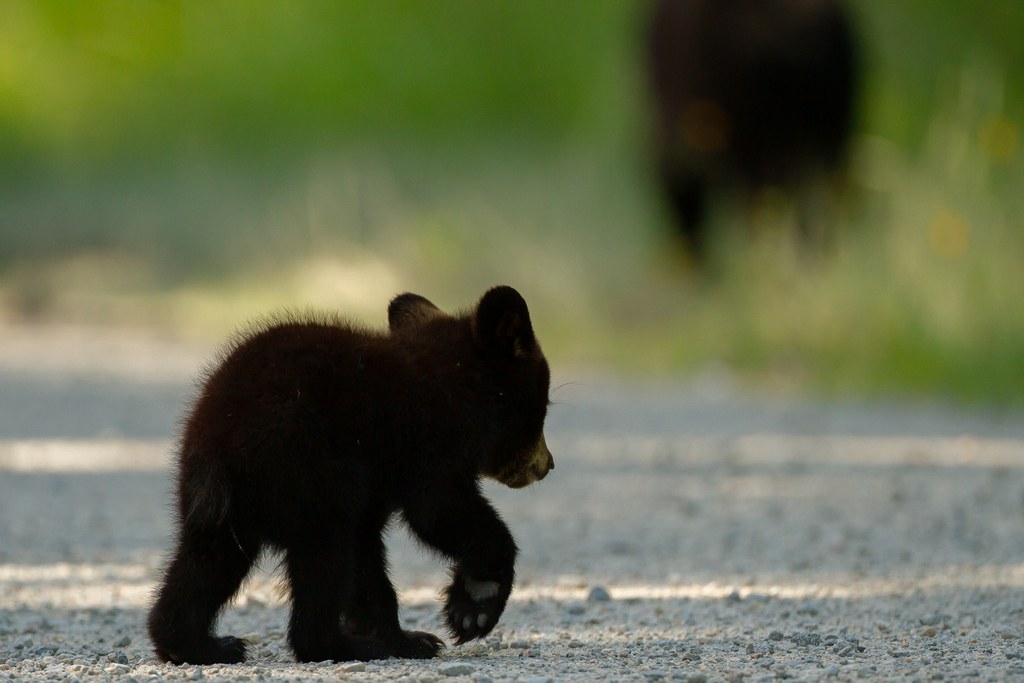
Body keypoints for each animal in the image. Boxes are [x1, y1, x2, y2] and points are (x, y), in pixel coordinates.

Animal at [147, 285, 554, 665]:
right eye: (543, 404)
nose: (546, 465)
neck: (461, 380)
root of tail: (217, 439)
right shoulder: (429, 443)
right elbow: (438, 510)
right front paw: (474, 606)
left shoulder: (376, 483)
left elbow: (367, 555)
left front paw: (408, 639)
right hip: (311, 469)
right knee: (325, 555)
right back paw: (342, 646)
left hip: (224, 507)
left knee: (208, 562)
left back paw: (199, 645)